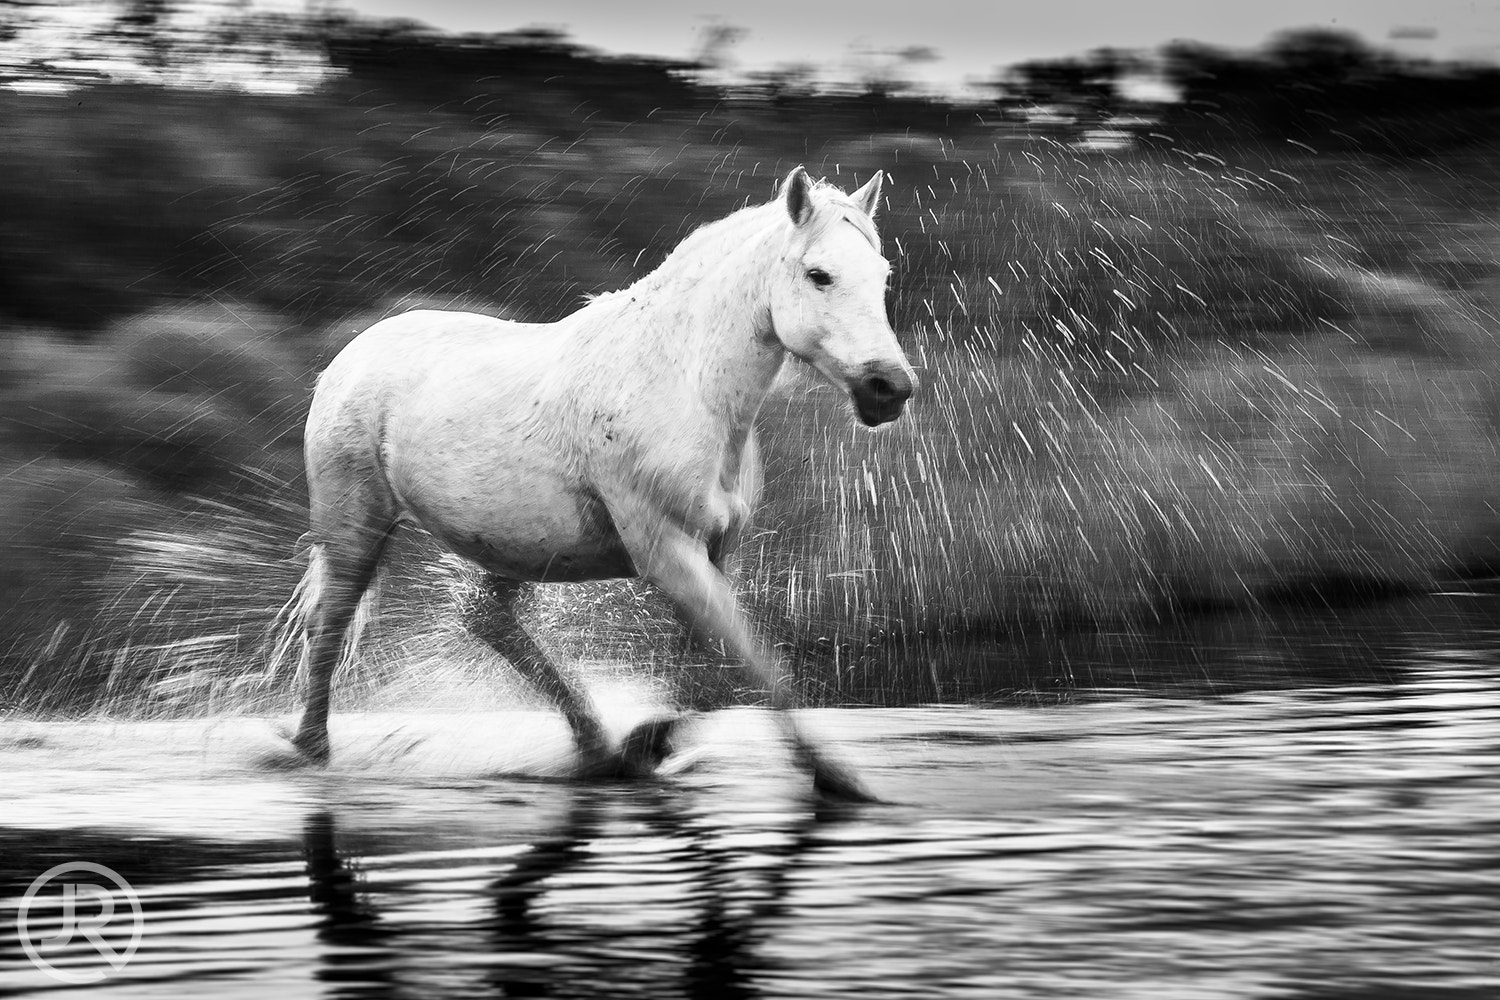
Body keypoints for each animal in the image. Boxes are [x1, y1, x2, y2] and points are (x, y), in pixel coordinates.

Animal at [284, 166, 916, 801]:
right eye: (819, 274)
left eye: (882, 276)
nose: (890, 388)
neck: (684, 388)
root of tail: (352, 354)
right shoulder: (666, 553)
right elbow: (758, 669)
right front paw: (836, 776)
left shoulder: (712, 552)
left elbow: (707, 675)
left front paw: (647, 744)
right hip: (356, 529)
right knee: (329, 627)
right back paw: (312, 750)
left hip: (515, 547)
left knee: (488, 621)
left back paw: (597, 745)